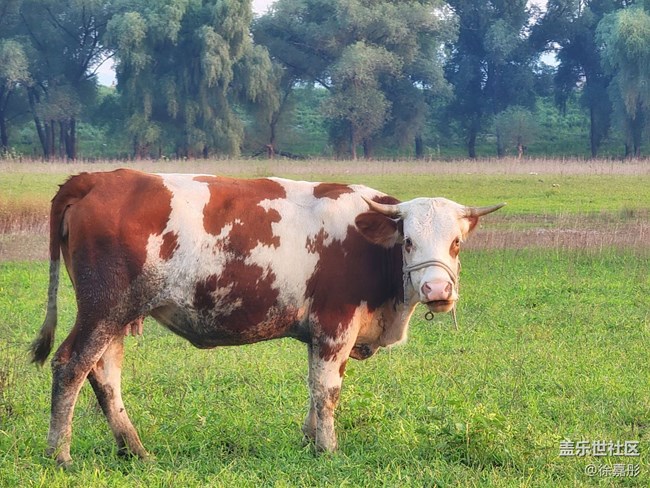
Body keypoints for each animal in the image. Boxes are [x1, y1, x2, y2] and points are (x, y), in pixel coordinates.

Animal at [30, 169, 504, 466]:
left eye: (457, 243)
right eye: (408, 241)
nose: (437, 291)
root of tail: (97, 179)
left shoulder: (331, 335)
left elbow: (318, 390)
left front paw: (309, 441)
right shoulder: (334, 325)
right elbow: (327, 390)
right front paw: (329, 451)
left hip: (118, 315)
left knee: (104, 374)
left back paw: (135, 450)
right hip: (103, 308)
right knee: (71, 365)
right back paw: (60, 454)